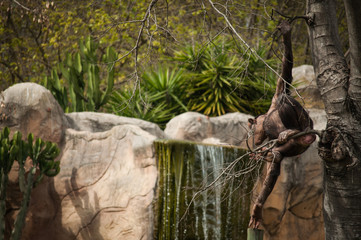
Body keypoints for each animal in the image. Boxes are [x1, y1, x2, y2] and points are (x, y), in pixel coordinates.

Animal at [248, 21, 316, 229]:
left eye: (251, 130)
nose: (255, 140)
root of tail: (308, 134)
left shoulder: (277, 92)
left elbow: (285, 74)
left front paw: (286, 33)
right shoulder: (282, 148)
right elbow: (275, 161)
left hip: (302, 128)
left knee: (286, 103)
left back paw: (291, 129)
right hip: (300, 141)